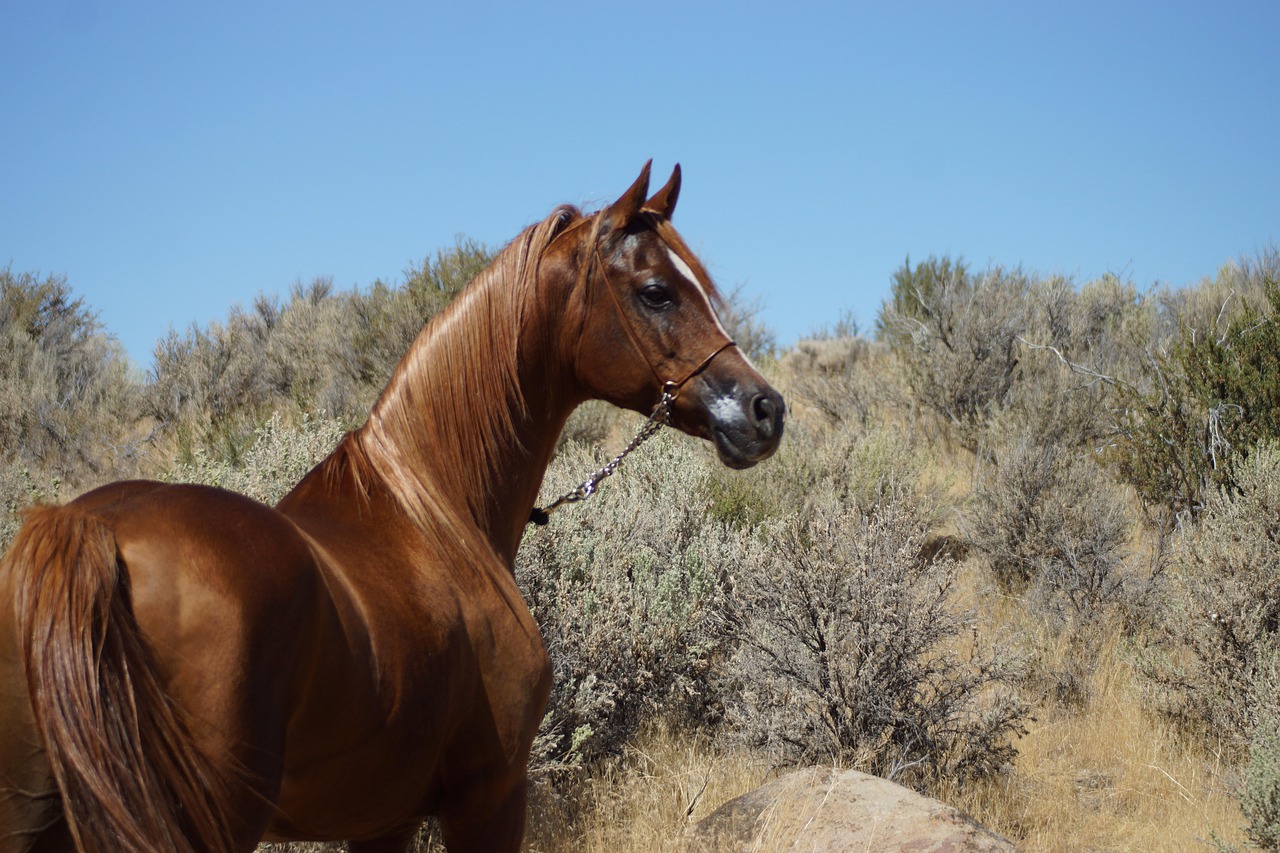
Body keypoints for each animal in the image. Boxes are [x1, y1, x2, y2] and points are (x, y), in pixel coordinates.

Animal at [0, 162, 785, 852]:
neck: (435, 509)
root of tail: (88, 528)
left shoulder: (383, 821)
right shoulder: (489, 797)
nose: (765, 409)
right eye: (656, 292)